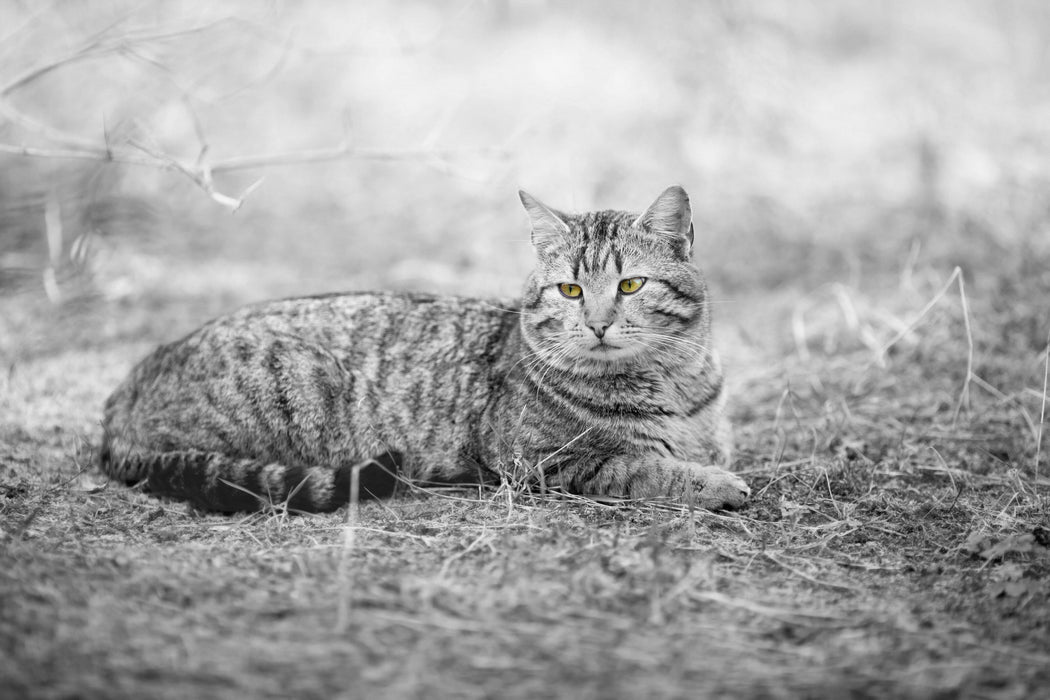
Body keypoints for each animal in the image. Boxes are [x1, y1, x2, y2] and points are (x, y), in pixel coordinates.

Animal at [98, 185, 751, 514]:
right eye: (570, 290)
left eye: (631, 285)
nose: (596, 324)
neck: (673, 382)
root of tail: (125, 389)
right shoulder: (541, 459)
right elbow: (642, 466)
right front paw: (715, 484)